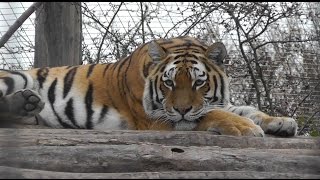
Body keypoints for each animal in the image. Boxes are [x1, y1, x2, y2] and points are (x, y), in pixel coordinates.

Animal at [0, 36, 298, 136]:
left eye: (198, 82)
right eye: (168, 83)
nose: (181, 109)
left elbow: (246, 108)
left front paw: (281, 122)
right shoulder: (157, 117)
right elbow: (211, 114)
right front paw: (246, 128)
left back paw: (27, 104)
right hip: (16, 76)